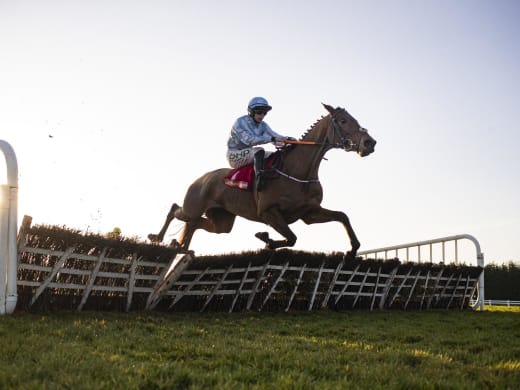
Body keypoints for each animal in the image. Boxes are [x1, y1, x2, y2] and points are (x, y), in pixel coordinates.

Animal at [148, 102, 376, 258]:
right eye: (344, 120)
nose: (370, 143)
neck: (298, 172)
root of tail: (201, 179)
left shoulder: (309, 213)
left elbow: (342, 216)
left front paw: (352, 249)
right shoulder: (268, 212)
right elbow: (292, 238)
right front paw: (265, 239)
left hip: (222, 221)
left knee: (195, 224)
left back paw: (180, 247)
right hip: (193, 206)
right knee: (176, 209)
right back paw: (157, 237)